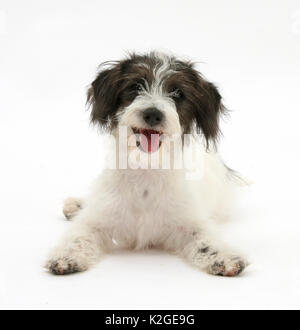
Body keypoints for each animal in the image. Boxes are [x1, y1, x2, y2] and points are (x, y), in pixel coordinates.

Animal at [45, 51, 248, 278]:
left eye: (177, 93)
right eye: (135, 87)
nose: (153, 114)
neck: (146, 170)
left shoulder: (191, 221)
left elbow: (205, 239)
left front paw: (224, 257)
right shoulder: (98, 218)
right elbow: (79, 235)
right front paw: (67, 255)